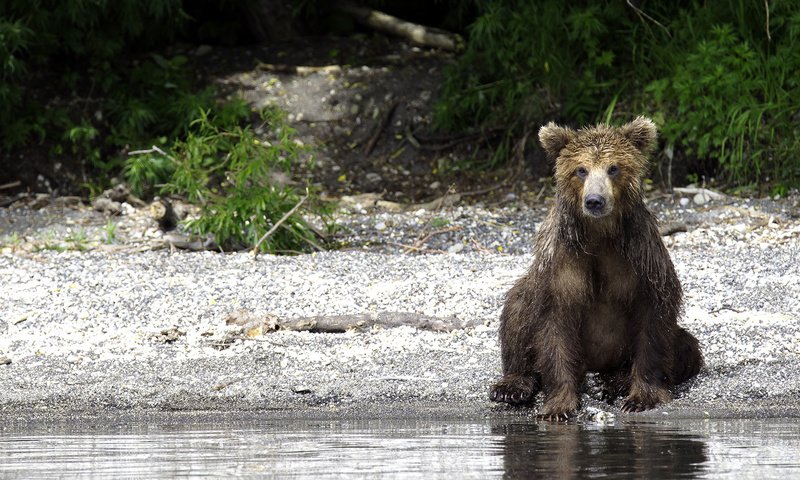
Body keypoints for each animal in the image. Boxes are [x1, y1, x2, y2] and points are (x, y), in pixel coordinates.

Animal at [490, 116, 704, 420]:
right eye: (581, 169)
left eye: (613, 167)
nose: (594, 200)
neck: (599, 234)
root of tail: (594, 368)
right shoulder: (562, 265)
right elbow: (553, 325)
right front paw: (558, 405)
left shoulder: (641, 259)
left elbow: (653, 322)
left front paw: (642, 397)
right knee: (516, 307)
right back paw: (512, 386)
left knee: (686, 347)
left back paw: (615, 381)